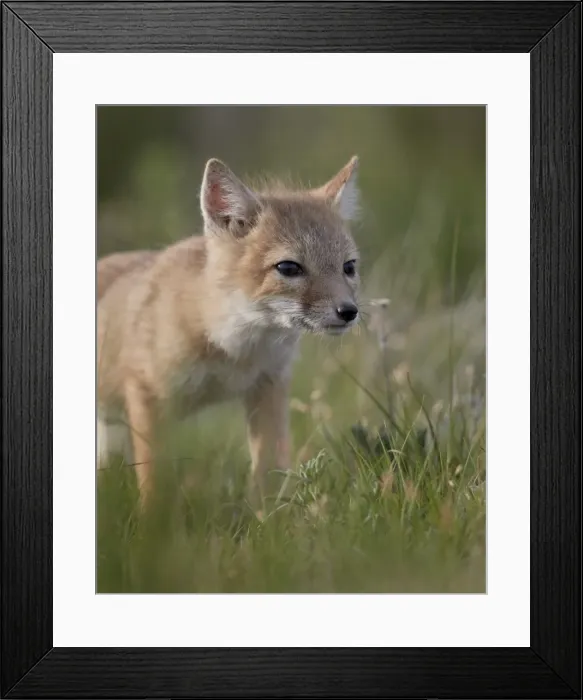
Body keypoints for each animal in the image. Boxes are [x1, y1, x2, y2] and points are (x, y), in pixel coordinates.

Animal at [97, 155, 362, 506]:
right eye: (289, 268)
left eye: (349, 267)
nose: (349, 312)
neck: (233, 353)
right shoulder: (147, 394)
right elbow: (155, 485)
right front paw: (153, 521)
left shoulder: (269, 386)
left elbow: (269, 474)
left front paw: (273, 519)